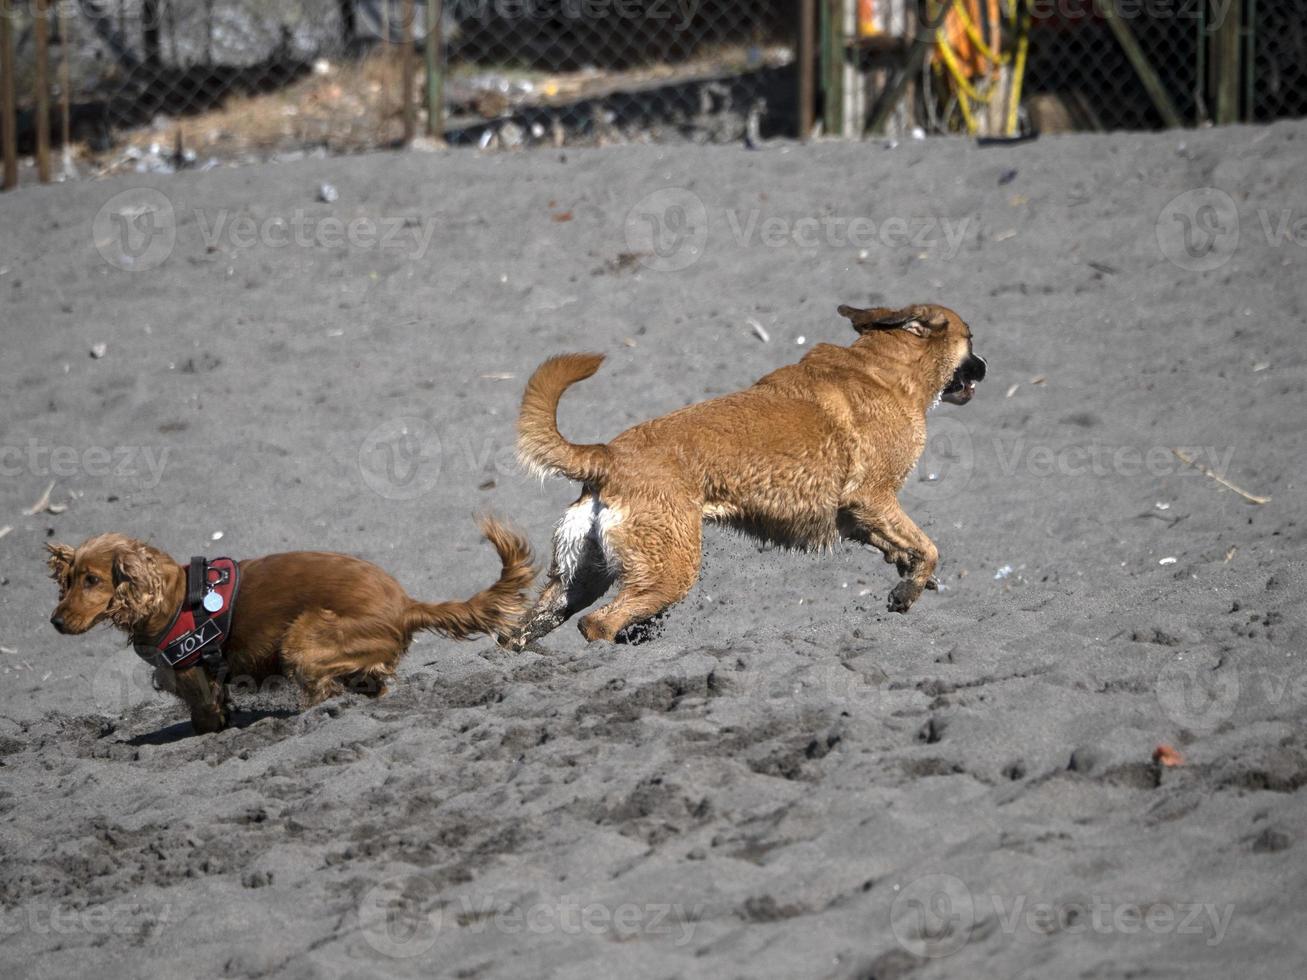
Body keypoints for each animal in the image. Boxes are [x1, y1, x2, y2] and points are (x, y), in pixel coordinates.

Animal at [48, 517, 533, 731]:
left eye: (93, 580)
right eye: (68, 581)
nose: (54, 621)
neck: (170, 596)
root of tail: (405, 605)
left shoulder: (192, 677)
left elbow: (205, 718)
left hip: (303, 638)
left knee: (323, 688)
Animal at [504, 303, 982, 648]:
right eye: (971, 338)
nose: (985, 364)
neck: (883, 368)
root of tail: (607, 456)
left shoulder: (856, 515)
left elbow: (903, 545)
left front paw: (906, 572)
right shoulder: (873, 497)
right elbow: (930, 547)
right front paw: (907, 591)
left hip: (578, 577)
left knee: (523, 630)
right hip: (669, 570)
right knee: (598, 624)